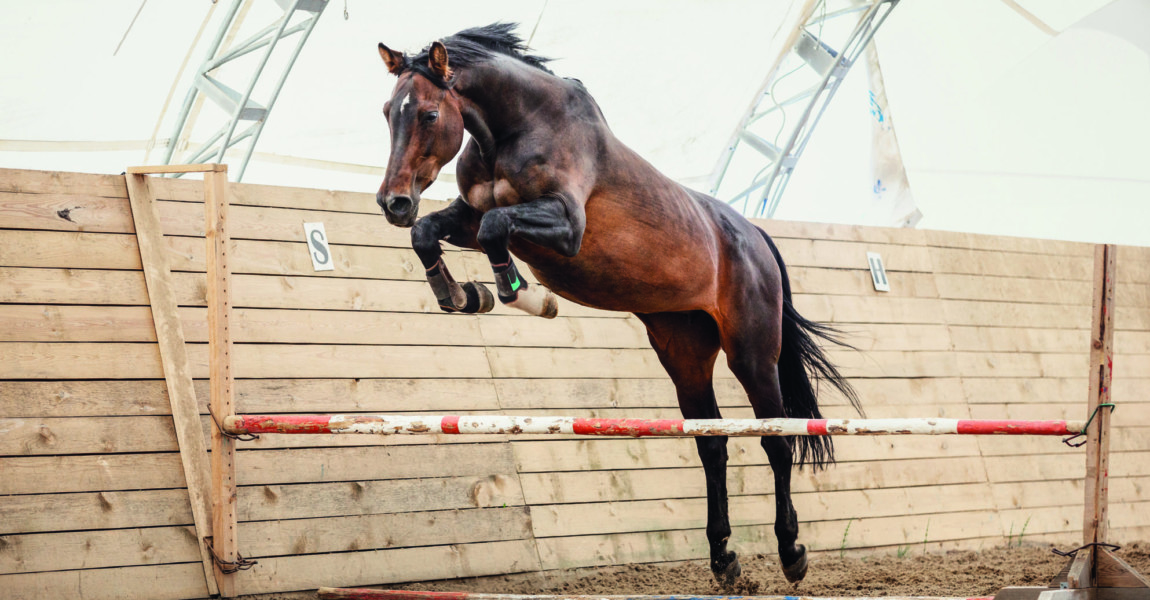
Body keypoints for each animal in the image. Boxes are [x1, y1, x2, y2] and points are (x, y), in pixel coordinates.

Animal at [372, 24, 860, 583]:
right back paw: (723, 559)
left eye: (429, 114)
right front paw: (463, 295)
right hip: (685, 354)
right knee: (712, 444)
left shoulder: (564, 226)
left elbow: (498, 229)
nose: (394, 203)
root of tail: (755, 235)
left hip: (753, 355)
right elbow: (431, 233)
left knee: (776, 441)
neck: (516, 128)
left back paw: (791, 552)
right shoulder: (470, 218)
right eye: (388, 112)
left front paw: (524, 295)